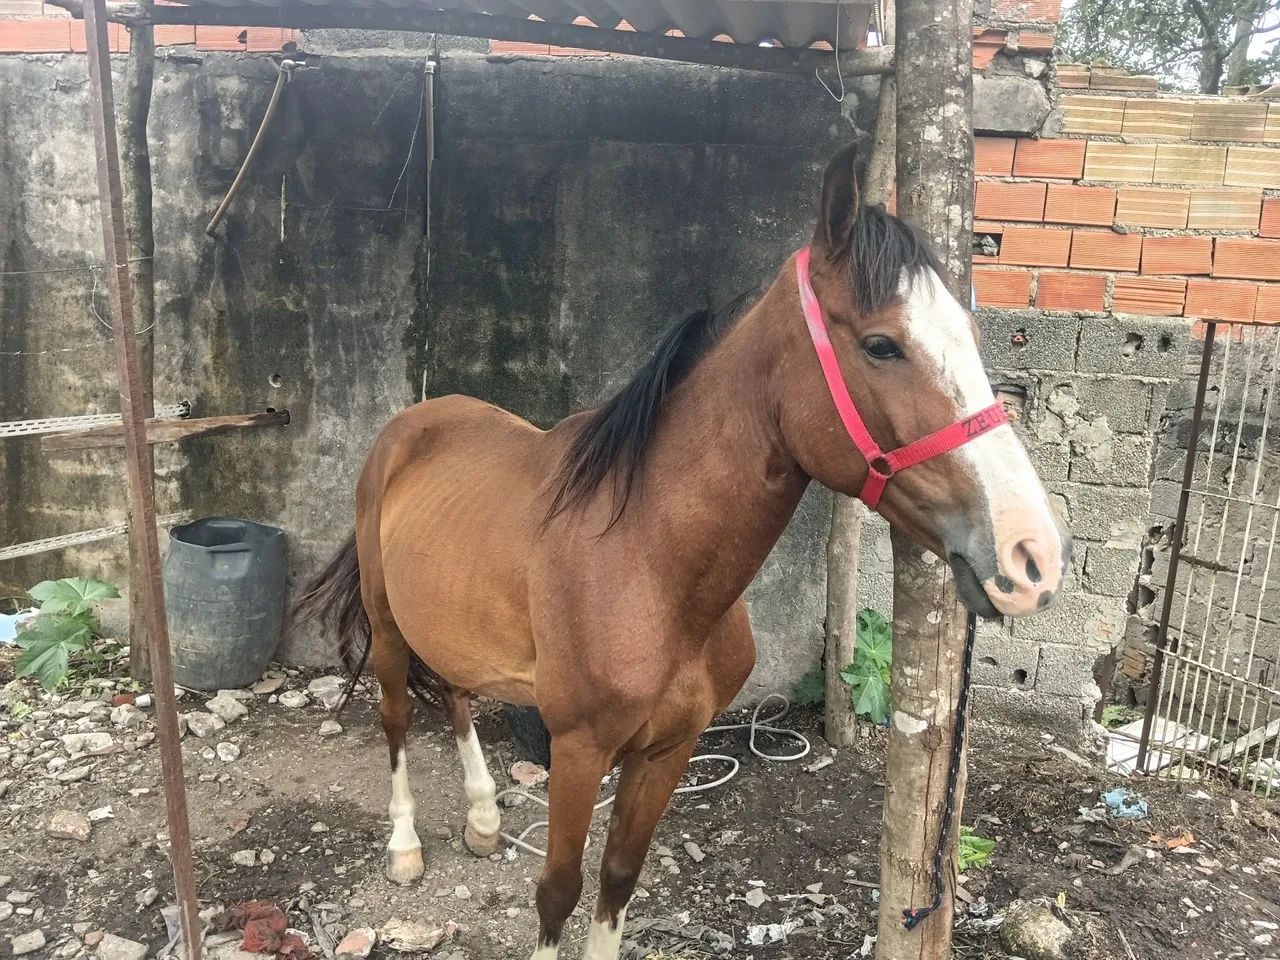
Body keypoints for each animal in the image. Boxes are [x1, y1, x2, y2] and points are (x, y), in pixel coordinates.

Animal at [296, 144, 1071, 960]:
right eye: (881, 345)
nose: (1032, 556)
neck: (651, 565)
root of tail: (409, 424)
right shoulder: (578, 751)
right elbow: (558, 891)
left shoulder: (668, 749)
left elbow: (618, 878)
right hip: (387, 627)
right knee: (394, 718)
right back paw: (405, 847)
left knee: (454, 693)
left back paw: (481, 819)